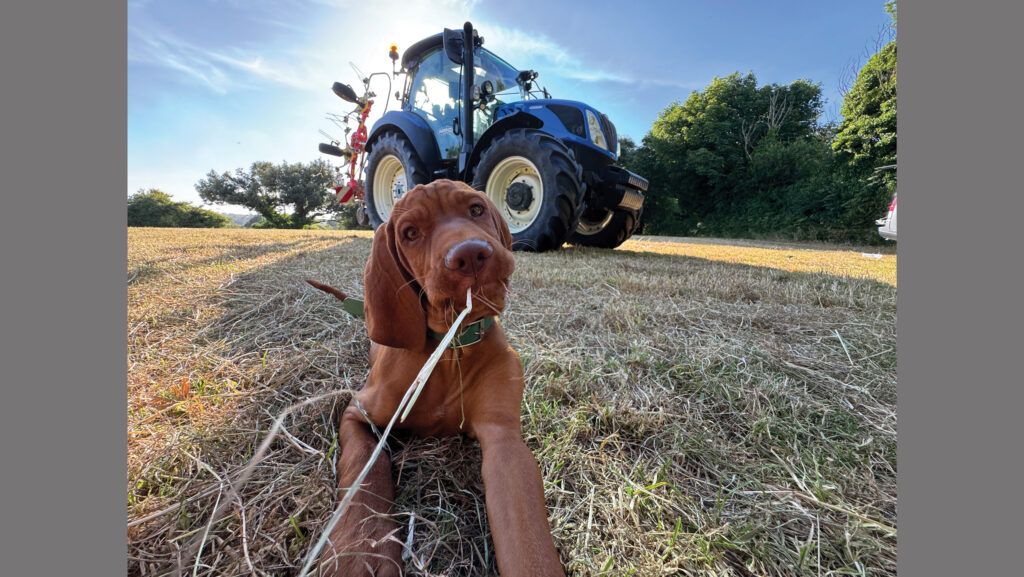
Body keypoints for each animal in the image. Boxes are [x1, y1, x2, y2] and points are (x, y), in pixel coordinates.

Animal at [309, 180, 565, 577]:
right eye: (411, 233)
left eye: (476, 209)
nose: (471, 254)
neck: (449, 349)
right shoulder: (358, 414)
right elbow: (365, 472)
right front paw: (360, 549)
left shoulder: (504, 438)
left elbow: (527, 539)